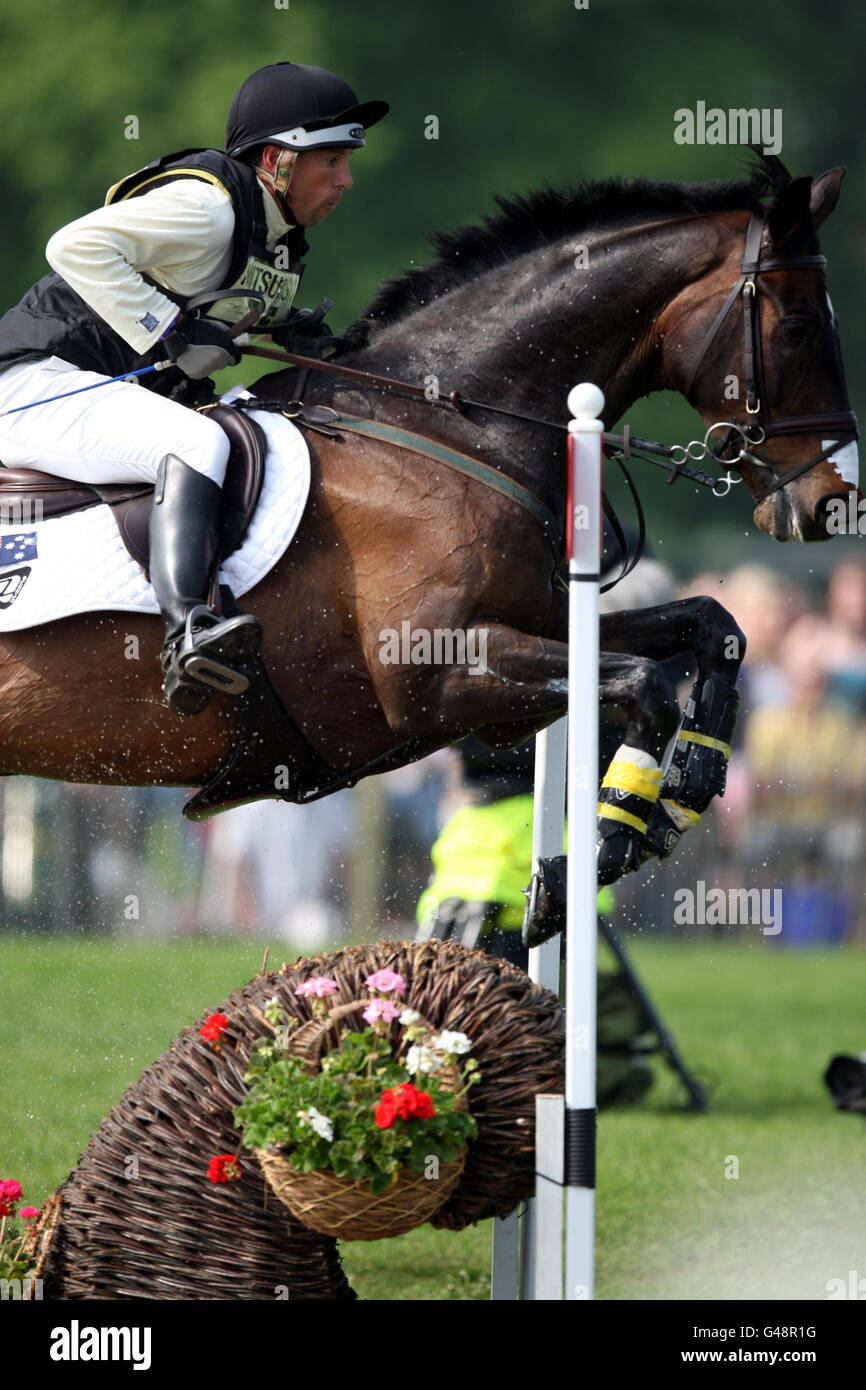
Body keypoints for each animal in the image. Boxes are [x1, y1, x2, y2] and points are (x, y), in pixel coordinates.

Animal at [0, 152, 856, 867]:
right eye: (799, 325)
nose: (834, 503)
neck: (448, 422)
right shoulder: (436, 673)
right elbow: (645, 684)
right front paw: (603, 851)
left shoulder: (532, 634)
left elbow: (714, 627)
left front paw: (686, 790)